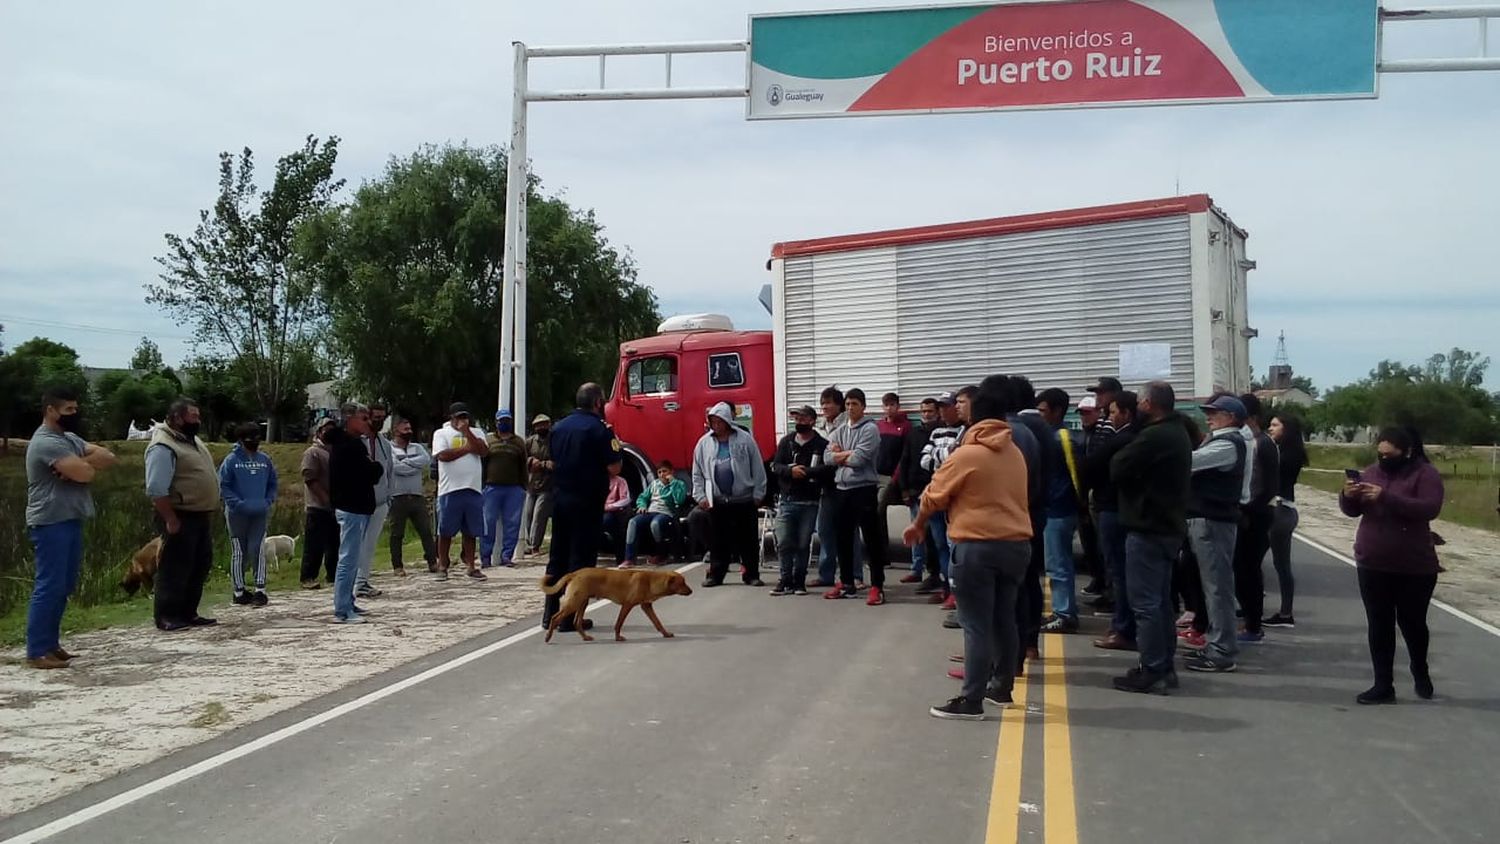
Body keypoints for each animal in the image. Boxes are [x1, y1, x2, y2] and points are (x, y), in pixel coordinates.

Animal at [540, 572, 690, 644]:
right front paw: (618, 637)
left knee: (576, 622)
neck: (650, 581)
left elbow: (658, 622)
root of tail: (574, 574)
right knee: (555, 617)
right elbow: (619, 623)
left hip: (582, 602)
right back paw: (547, 637)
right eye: (682, 583)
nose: (691, 591)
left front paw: (666, 634)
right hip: (574, 602)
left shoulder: (646, 606)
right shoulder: (627, 605)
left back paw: (586, 637)